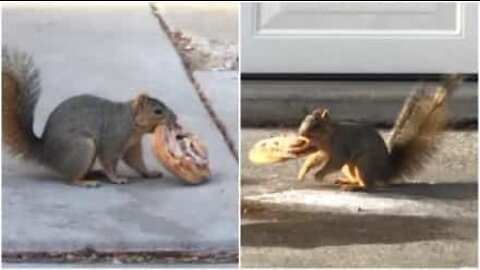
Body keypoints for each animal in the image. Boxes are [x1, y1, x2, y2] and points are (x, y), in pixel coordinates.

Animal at [2, 47, 177, 188]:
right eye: (157, 111)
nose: (175, 118)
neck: (132, 123)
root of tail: (45, 153)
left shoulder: (132, 145)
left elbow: (136, 161)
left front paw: (150, 173)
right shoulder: (114, 139)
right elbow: (109, 159)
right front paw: (116, 179)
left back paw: (95, 173)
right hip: (82, 148)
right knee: (71, 178)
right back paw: (86, 182)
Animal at [294, 75, 464, 191]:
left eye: (317, 125)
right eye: (304, 121)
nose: (301, 134)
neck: (328, 137)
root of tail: (385, 172)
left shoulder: (341, 147)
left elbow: (335, 162)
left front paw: (319, 175)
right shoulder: (323, 151)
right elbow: (314, 159)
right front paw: (303, 172)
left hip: (364, 163)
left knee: (369, 185)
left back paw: (356, 187)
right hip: (350, 167)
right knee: (360, 179)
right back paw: (348, 181)